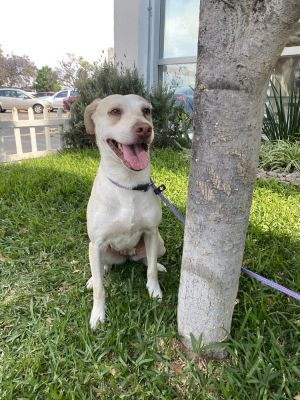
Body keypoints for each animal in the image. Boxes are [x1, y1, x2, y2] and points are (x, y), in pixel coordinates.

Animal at [83, 94, 165, 328]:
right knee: (102, 268)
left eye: (146, 110)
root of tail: (127, 256)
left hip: (160, 243)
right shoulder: (97, 242)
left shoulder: (151, 232)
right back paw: (94, 277)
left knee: (148, 260)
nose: (144, 128)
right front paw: (98, 315)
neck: (128, 184)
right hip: (96, 250)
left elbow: (150, 270)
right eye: (114, 112)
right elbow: (100, 288)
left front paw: (154, 291)